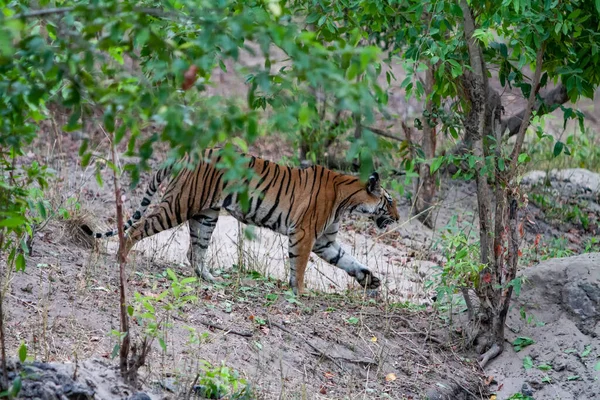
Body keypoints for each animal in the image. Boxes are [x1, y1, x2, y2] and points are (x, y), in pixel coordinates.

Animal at [79, 148, 398, 296]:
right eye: (390, 200)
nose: (396, 218)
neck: (348, 201)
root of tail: (186, 153)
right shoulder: (305, 234)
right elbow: (300, 265)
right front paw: (300, 291)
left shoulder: (325, 241)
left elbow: (349, 260)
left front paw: (371, 280)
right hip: (179, 205)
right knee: (137, 228)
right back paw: (121, 257)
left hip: (206, 215)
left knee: (195, 250)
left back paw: (209, 278)